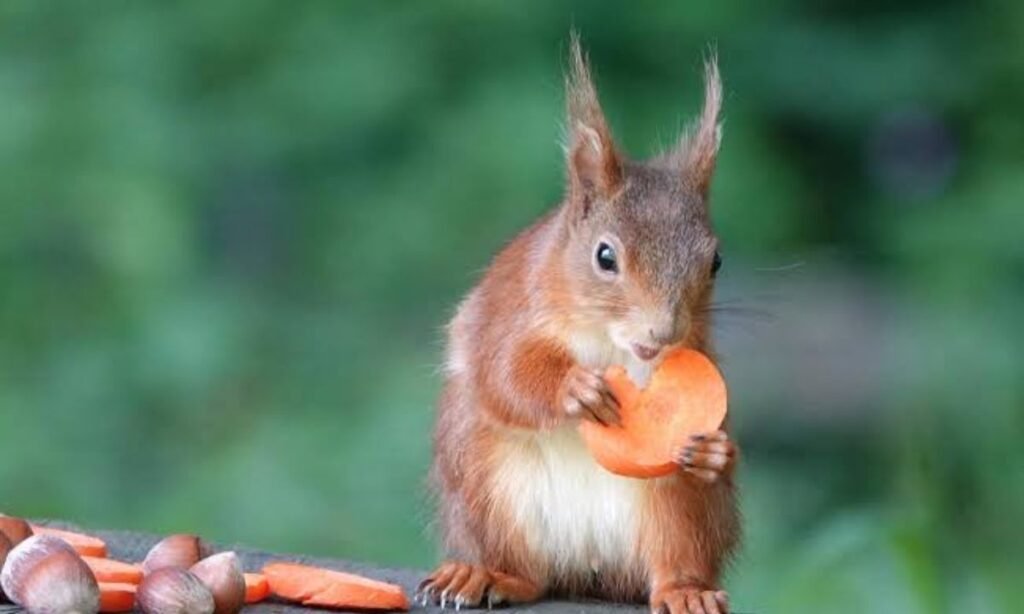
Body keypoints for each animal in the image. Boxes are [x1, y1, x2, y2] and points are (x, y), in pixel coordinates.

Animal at [421, 35, 740, 614]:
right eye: (604, 256)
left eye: (716, 261)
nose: (663, 332)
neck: (612, 346)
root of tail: (587, 572)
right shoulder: (508, 312)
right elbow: (502, 373)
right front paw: (574, 388)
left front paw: (713, 451)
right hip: (485, 481)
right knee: (524, 572)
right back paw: (486, 574)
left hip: (676, 515)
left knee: (675, 553)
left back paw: (686, 590)